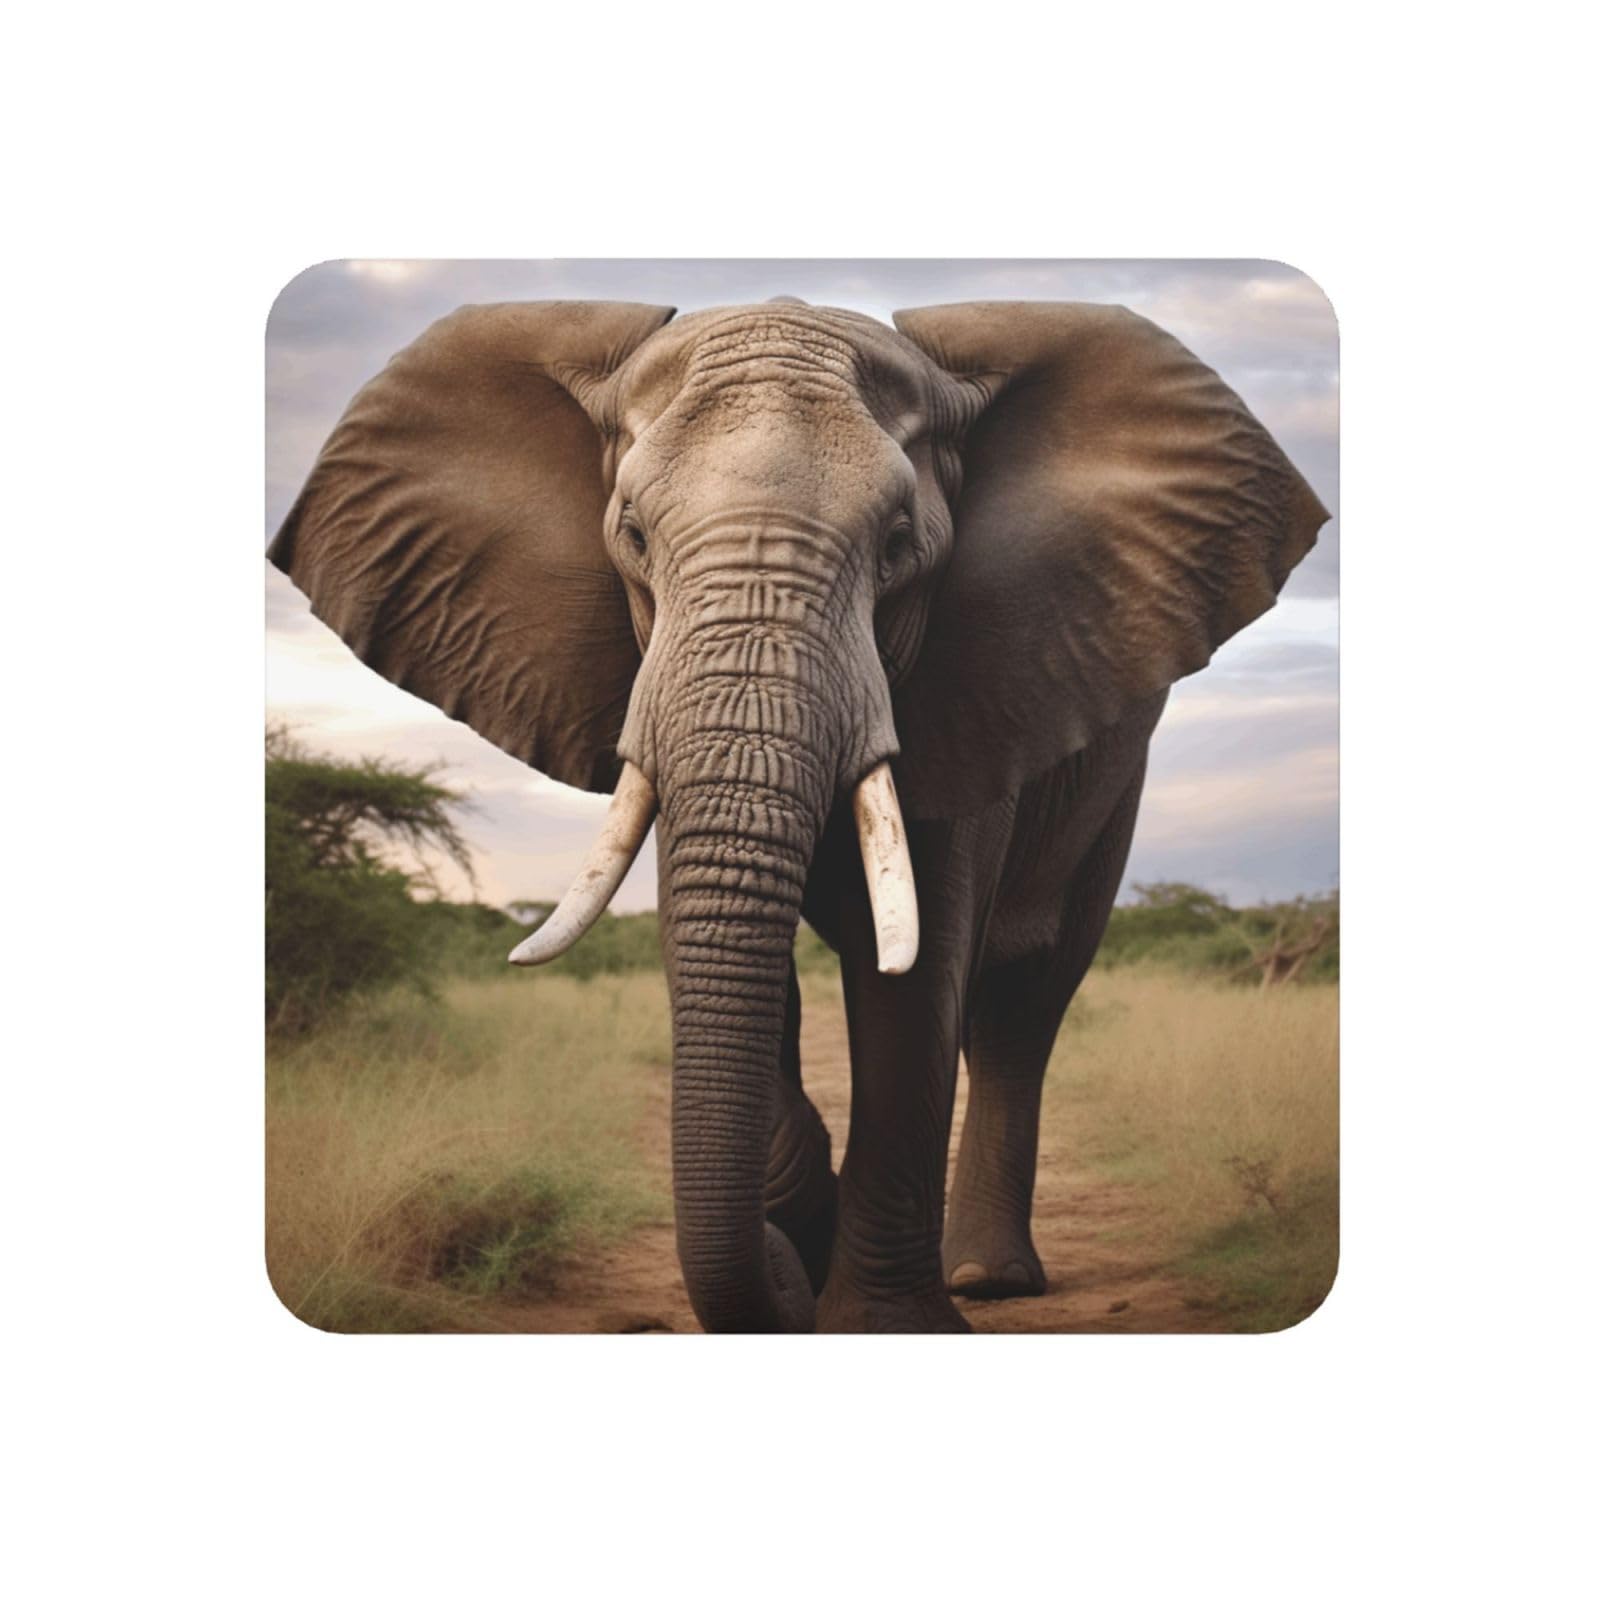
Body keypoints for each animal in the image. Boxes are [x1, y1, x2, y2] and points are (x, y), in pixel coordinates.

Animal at [269, 295, 1326, 1333]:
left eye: (898, 545)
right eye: (633, 536)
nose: (781, 1268)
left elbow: (919, 972)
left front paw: (878, 1318)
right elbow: (709, 939)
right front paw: (800, 1238)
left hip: (1114, 778)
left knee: (1024, 1001)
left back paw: (986, 1276)